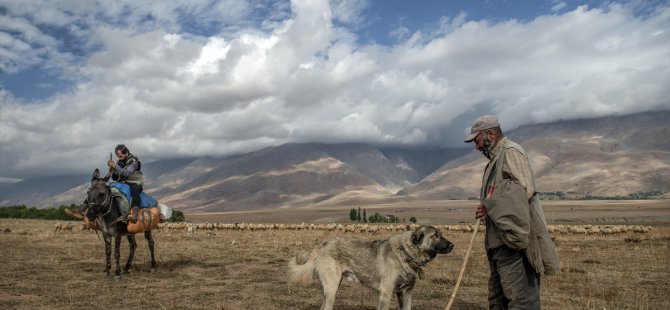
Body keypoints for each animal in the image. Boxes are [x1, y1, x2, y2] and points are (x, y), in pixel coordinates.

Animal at [288, 225, 456, 310]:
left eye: (441, 234)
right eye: (435, 235)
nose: (452, 245)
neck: (406, 253)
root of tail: (321, 245)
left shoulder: (406, 294)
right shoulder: (385, 293)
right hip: (332, 288)